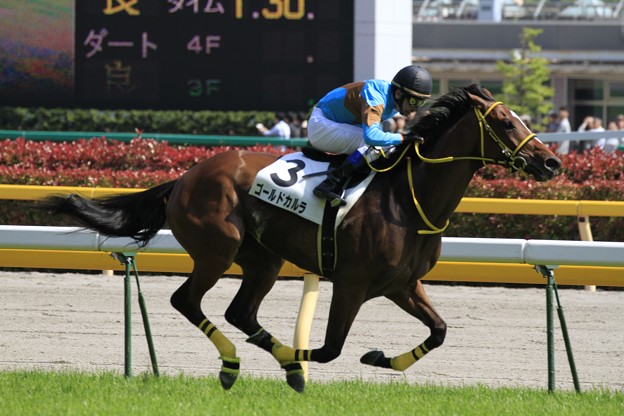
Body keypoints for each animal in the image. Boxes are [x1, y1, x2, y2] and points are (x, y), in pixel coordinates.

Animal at [43, 85, 561, 392]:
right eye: (506, 123)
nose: (551, 162)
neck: (406, 200)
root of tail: (186, 176)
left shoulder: (401, 284)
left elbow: (438, 331)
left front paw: (379, 358)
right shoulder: (351, 283)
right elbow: (331, 348)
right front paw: (301, 363)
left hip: (263, 260)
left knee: (240, 311)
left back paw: (263, 360)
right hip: (217, 249)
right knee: (187, 301)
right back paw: (236, 364)